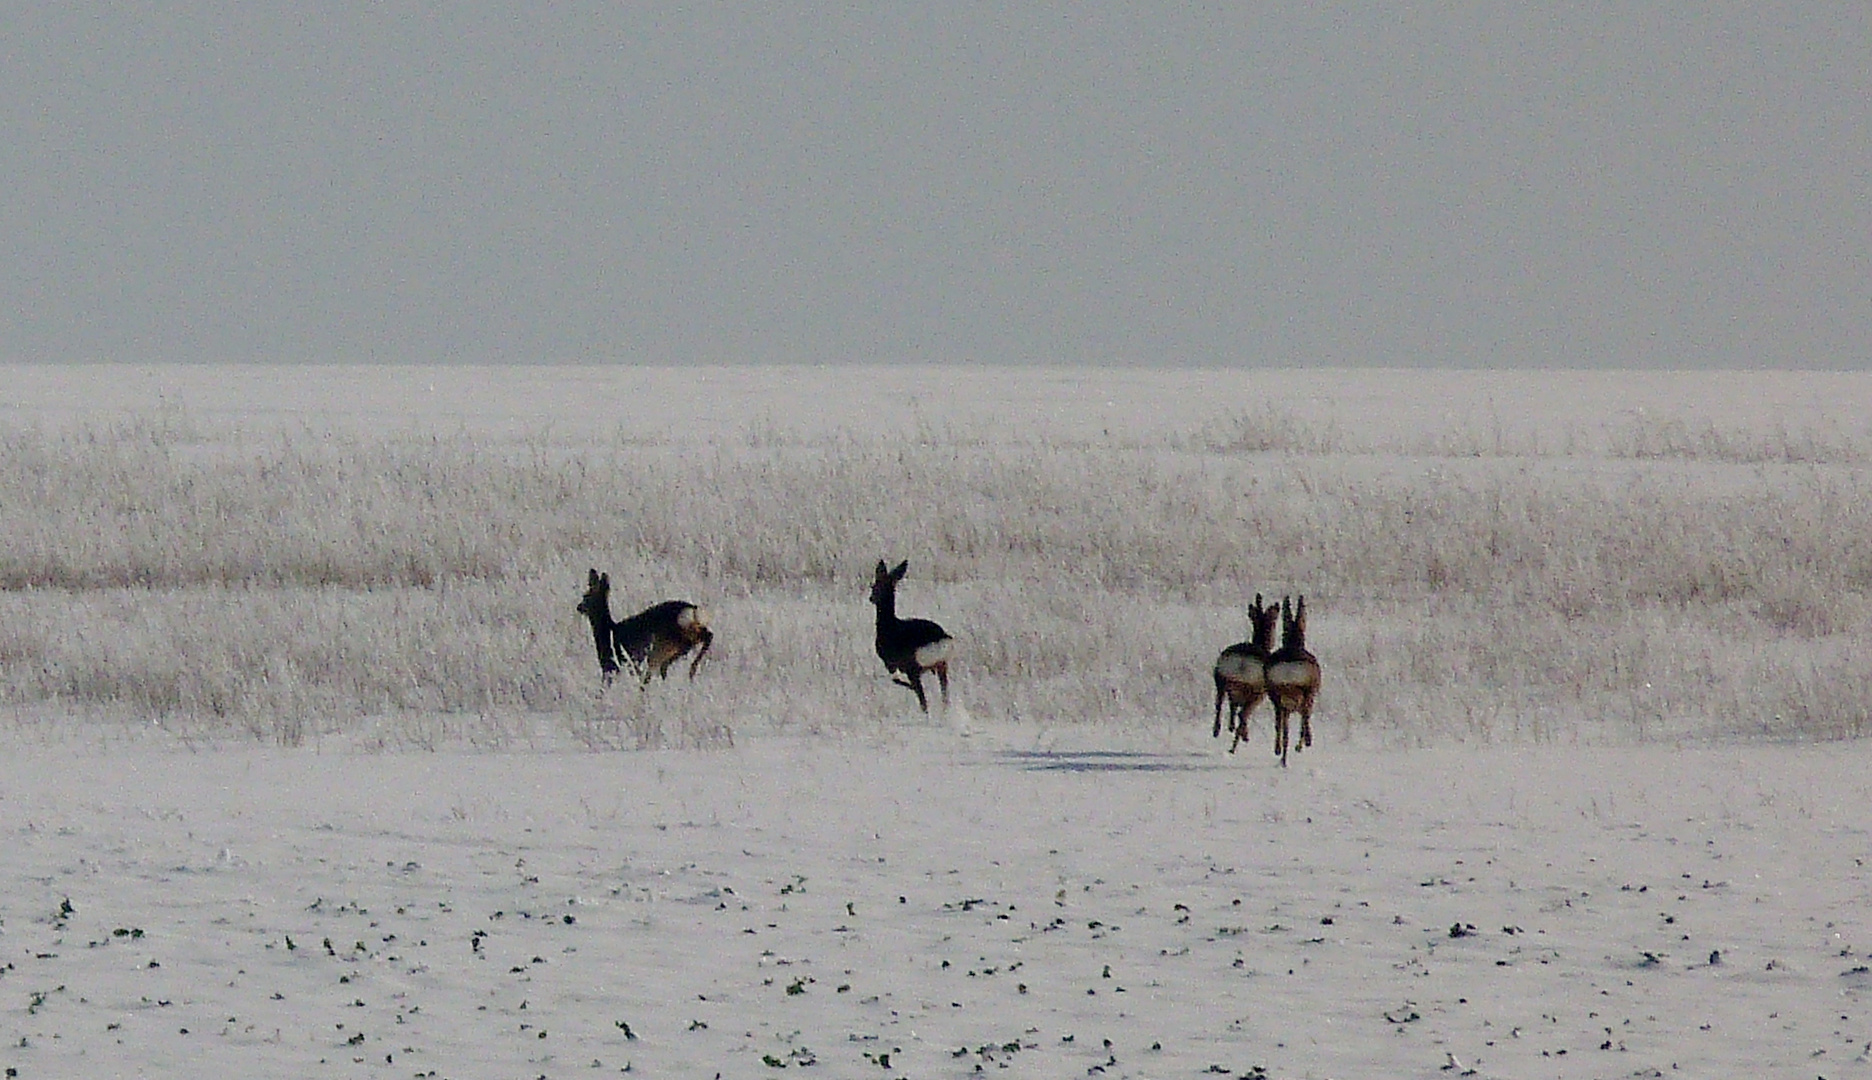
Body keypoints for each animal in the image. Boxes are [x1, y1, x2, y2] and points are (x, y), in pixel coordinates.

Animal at [572, 569, 711, 685]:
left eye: (586, 596)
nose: (579, 607)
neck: (608, 631)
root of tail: (690, 608)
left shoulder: (613, 666)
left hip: (672, 638)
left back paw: (689, 669)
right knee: (706, 634)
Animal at [864, 561, 950, 711]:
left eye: (876, 586)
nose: (871, 598)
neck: (889, 625)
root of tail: (938, 638)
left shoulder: (890, 663)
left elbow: (896, 680)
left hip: (914, 666)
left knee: (922, 697)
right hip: (941, 664)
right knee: (944, 692)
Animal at [1213, 591, 1287, 748]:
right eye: (1273, 623)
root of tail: (1242, 662)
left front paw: (1231, 727)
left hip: (1220, 680)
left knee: (1219, 705)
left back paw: (1218, 731)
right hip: (1256, 691)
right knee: (1243, 713)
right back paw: (1241, 739)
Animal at [1265, 595, 1325, 763]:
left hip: (1279, 698)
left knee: (1282, 726)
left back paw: (1282, 756)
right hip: (1304, 695)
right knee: (1303, 718)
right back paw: (1301, 745)